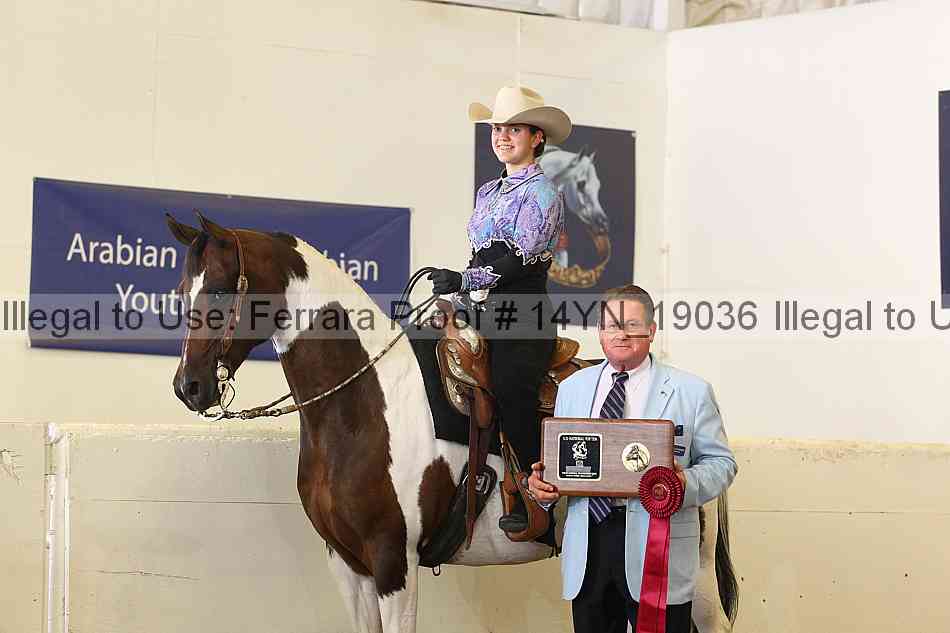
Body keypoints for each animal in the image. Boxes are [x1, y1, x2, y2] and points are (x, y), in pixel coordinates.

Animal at [166, 213, 738, 633]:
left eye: (220, 290)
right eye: (181, 289)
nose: (188, 387)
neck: (361, 404)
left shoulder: (393, 561)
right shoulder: (347, 564)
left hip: (689, 583)